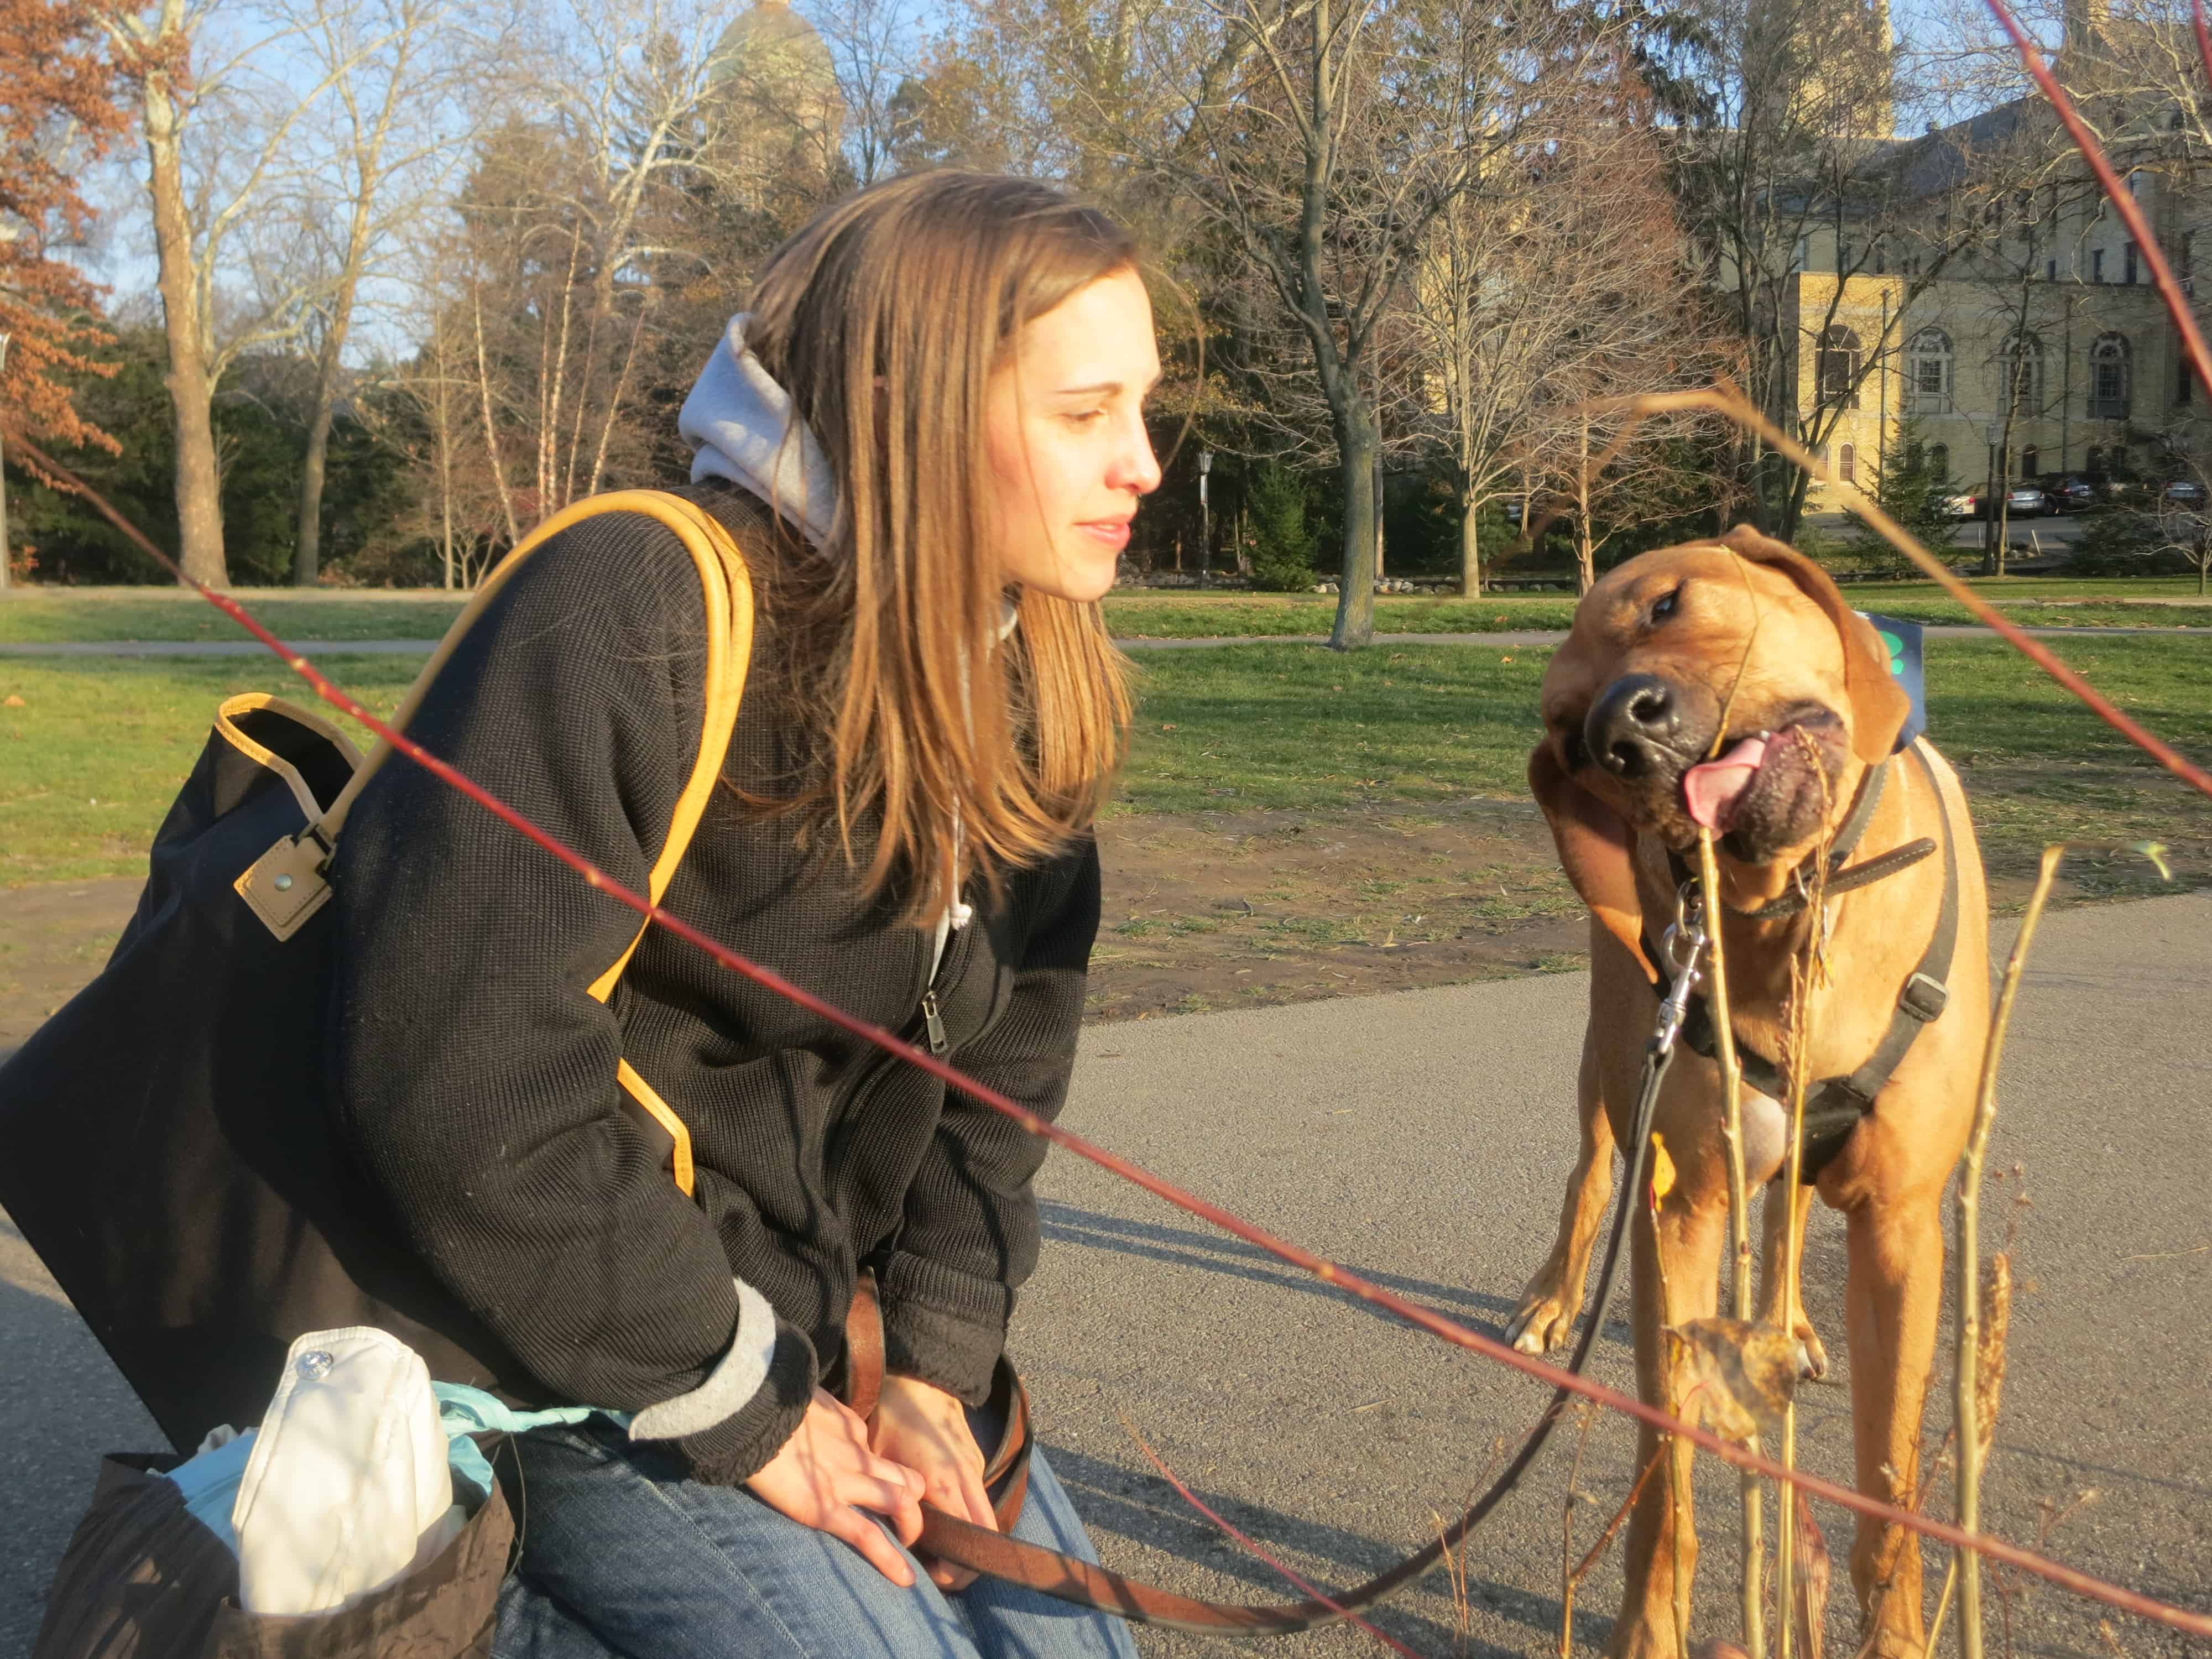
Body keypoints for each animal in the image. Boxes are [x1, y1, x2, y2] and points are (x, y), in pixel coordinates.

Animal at [1513, 526, 2000, 1659]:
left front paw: (1897, 1632)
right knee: (1589, 1172)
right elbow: (1666, 1475)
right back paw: (1556, 1299)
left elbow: (1890, 1488)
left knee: (1787, 1213)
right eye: (1564, 733)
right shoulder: (1679, 1210)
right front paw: (1649, 1629)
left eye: (1665, 604)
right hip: (1612, 1056)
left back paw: (1792, 1323)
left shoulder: (1902, 1223)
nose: (1619, 733)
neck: (1797, 907)